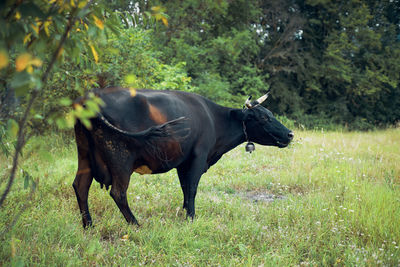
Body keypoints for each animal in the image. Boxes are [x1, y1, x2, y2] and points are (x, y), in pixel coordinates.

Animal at [72, 88, 292, 228]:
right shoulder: (198, 157)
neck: (215, 120)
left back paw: (88, 226)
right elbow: (192, 188)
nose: (290, 134)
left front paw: (185, 211)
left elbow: (185, 188)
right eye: (264, 118)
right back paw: (135, 224)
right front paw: (191, 218)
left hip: (84, 155)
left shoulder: (182, 163)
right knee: (118, 193)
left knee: (80, 186)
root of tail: (91, 96)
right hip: (121, 159)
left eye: (271, 113)